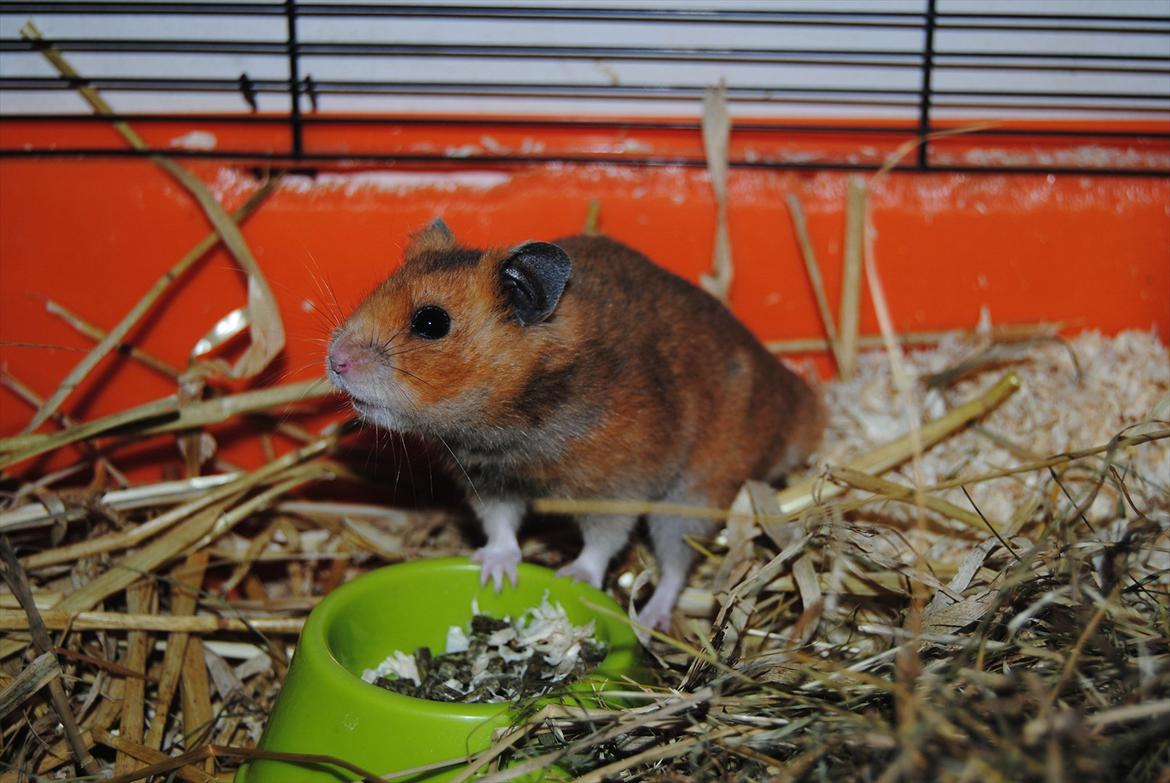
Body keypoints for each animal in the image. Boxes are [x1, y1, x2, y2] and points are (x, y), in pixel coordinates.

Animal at [326, 219, 824, 630]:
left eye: (430, 322)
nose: (335, 361)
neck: (516, 417)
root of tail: (803, 412)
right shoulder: (492, 482)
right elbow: (501, 527)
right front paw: (494, 573)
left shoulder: (618, 487)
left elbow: (603, 541)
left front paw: (574, 578)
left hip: (692, 495)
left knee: (676, 565)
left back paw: (647, 622)